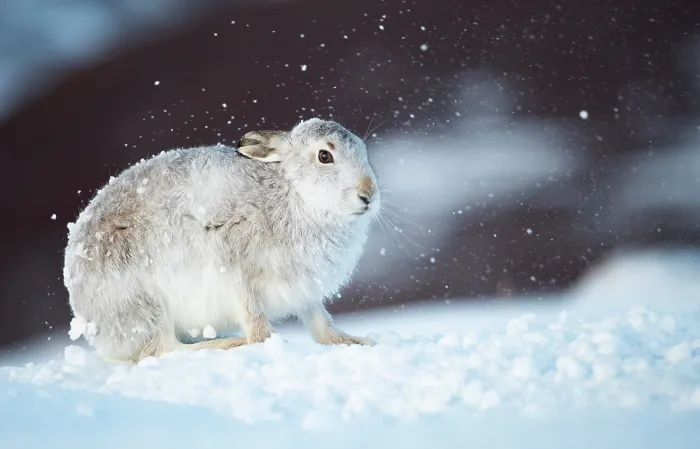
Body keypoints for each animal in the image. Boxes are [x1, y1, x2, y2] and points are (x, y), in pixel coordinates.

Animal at [63, 118, 380, 362]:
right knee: (160, 349)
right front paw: (267, 343)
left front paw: (353, 341)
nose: (369, 194)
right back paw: (228, 344)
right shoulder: (234, 267)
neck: (296, 194)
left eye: (363, 152)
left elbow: (319, 321)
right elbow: (256, 322)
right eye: (324, 156)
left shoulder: (304, 289)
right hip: (143, 299)